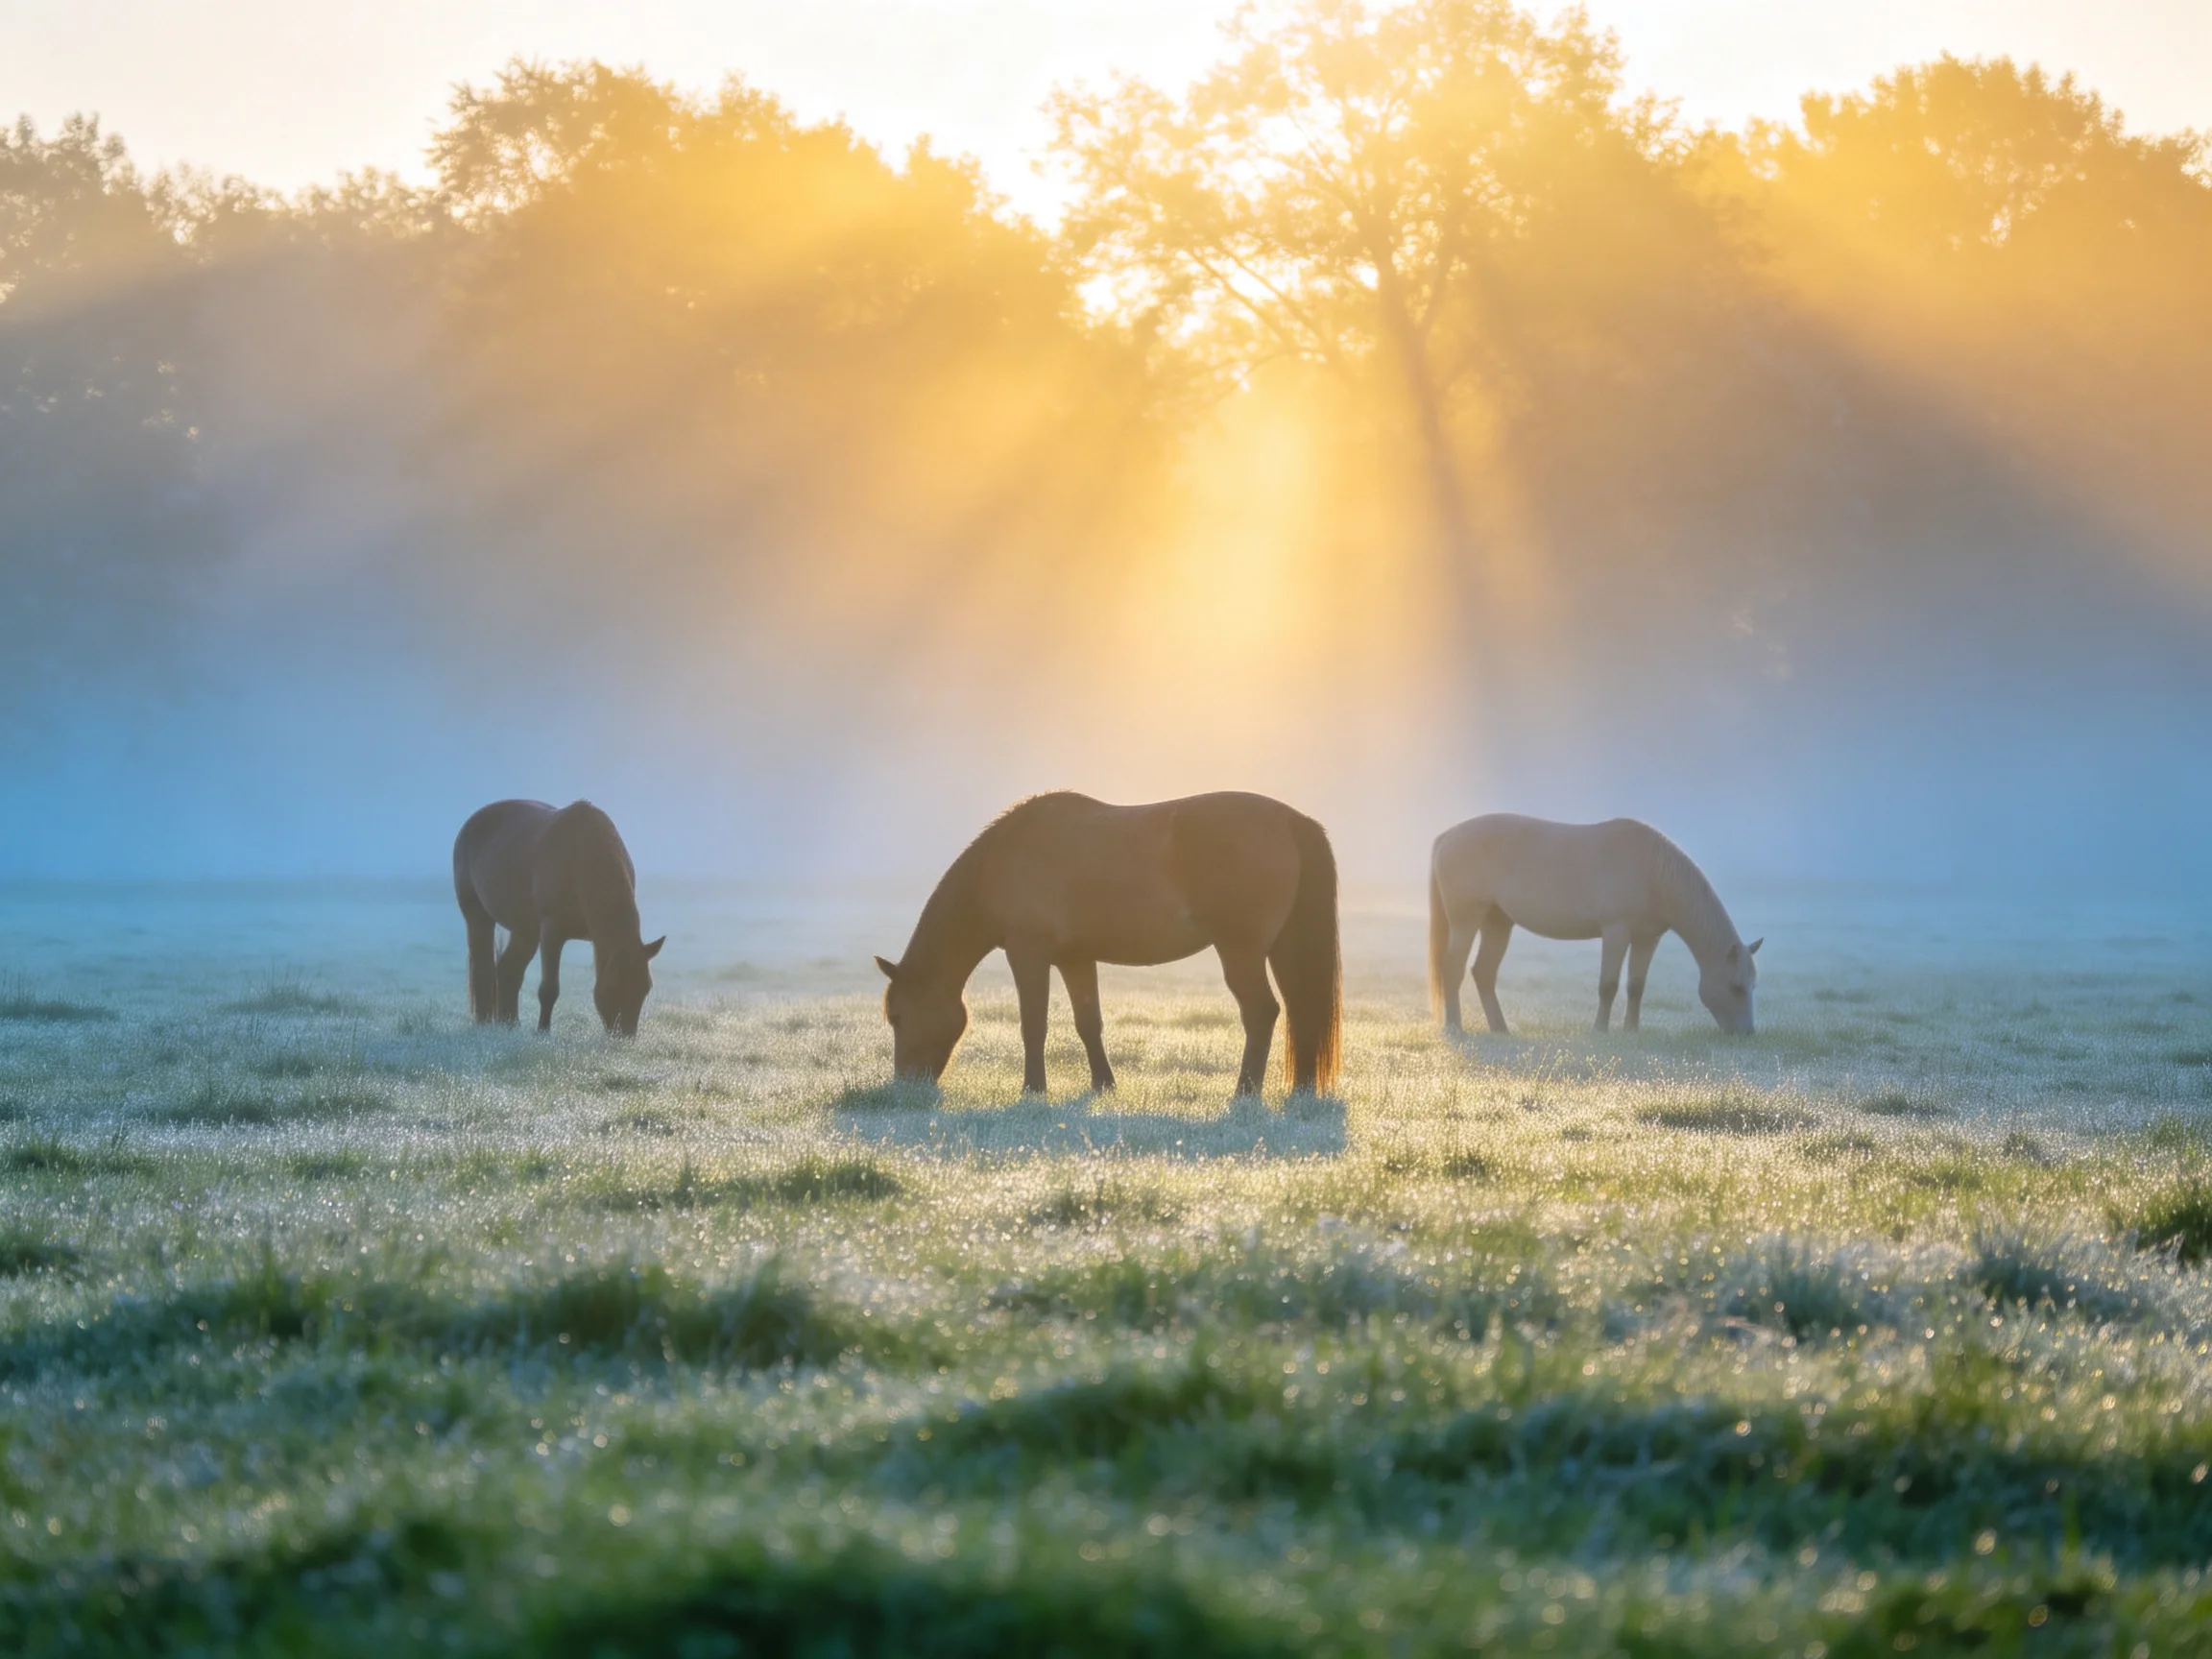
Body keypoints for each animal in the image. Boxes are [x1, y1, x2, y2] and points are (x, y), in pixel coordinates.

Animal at [452, 800, 664, 1035]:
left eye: (646, 988)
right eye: (612, 986)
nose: (625, 1036)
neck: (582, 856)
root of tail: (469, 825)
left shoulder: (598, 941)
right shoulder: (552, 933)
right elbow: (549, 989)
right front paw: (542, 1032)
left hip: (525, 930)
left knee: (508, 970)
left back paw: (510, 1024)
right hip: (477, 915)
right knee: (483, 966)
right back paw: (484, 1023)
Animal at [876, 791, 1341, 1097]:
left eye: (897, 1016)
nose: (904, 1088)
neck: (1004, 858)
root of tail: (1289, 820)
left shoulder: (1028, 953)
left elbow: (1033, 1024)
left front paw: (1033, 1089)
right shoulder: (1075, 959)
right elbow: (1088, 1022)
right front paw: (1103, 1084)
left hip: (1240, 952)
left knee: (1262, 1012)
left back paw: (1244, 1091)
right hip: (1283, 949)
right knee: (1300, 1011)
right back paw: (1300, 1091)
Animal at [1428, 814, 1761, 1036]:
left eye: (1752, 985)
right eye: (1736, 986)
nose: (1747, 1033)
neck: (1653, 872)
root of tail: (1449, 834)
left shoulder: (1647, 939)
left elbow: (1636, 986)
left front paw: (1631, 1031)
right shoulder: (1616, 931)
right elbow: (1608, 985)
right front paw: (1600, 1031)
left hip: (1497, 923)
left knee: (1483, 973)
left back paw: (1500, 1029)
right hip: (1466, 920)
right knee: (1453, 967)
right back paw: (1455, 1027)